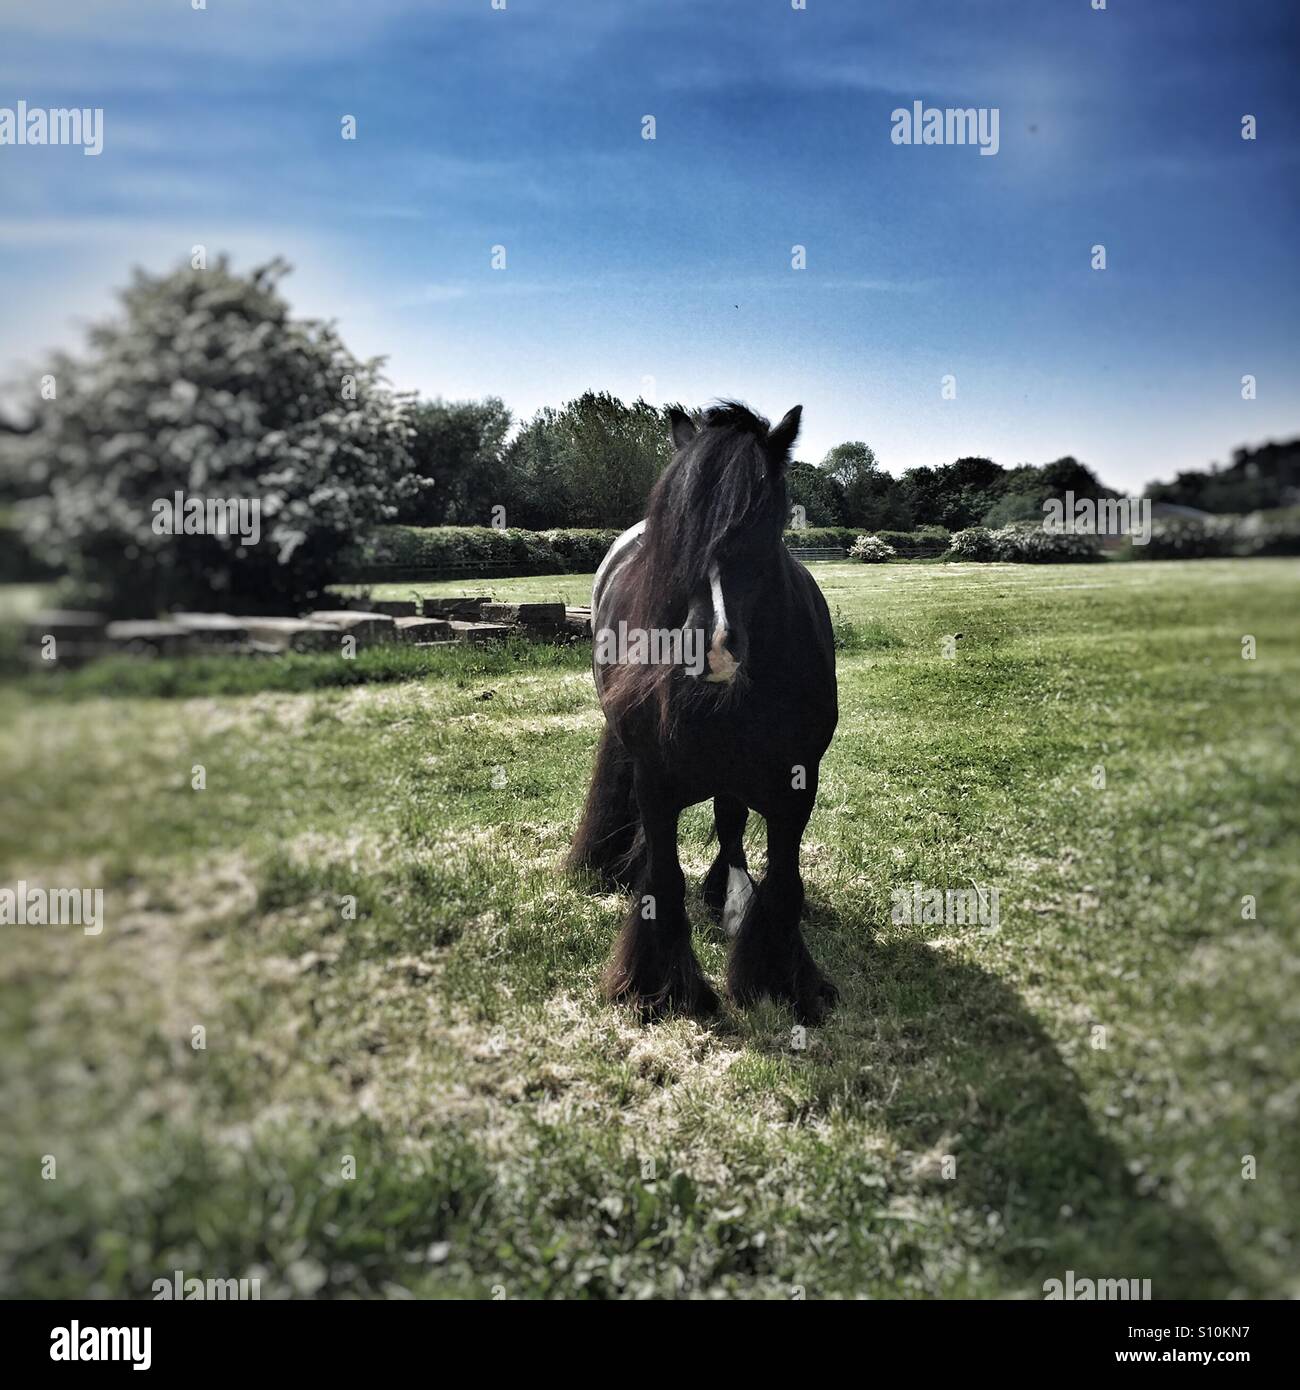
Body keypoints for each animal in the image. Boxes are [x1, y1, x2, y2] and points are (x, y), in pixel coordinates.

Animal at [570, 400, 845, 1023]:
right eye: (677, 524)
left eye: (766, 516)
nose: (711, 646)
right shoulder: (654, 782)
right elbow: (663, 880)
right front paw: (660, 987)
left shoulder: (798, 783)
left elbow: (782, 878)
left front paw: (779, 980)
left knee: (731, 822)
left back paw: (728, 894)